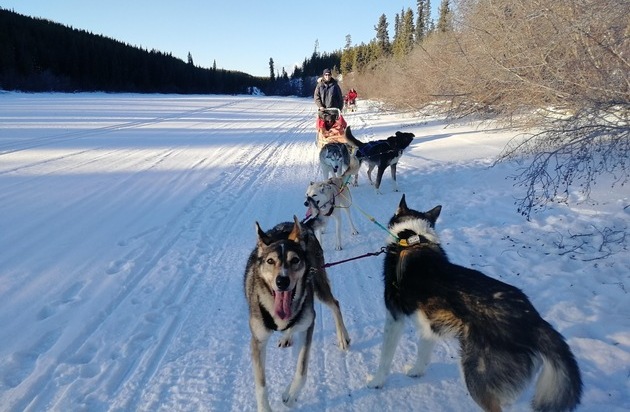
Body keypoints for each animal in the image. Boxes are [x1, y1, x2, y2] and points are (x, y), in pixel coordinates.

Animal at [246, 217, 354, 410]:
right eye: (270, 261)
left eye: (295, 260)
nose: (282, 281)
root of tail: (304, 225)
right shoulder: (258, 341)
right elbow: (261, 385)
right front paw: (265, 408)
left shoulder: (308, 325)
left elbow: (301, 370)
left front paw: (290, 395)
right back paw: (287, 335)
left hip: (319, 285)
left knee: (335, 304)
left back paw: (343, 337)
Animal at [368, 196, 584, 412]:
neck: (413, 239)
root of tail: (533, 319)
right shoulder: (429, 324)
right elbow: (423, 353)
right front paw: (416, 371)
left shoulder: (394, 318)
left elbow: (385, 359)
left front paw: (376, 382)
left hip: (475, 376)